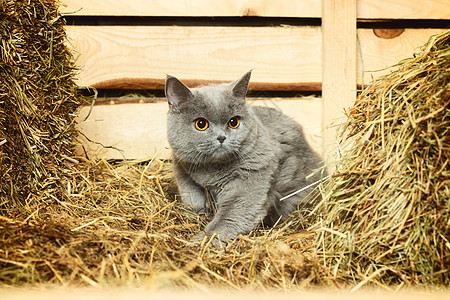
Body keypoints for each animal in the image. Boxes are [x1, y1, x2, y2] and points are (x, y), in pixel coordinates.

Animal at [165, 71, 324, 245]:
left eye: (233, 122)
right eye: (201, 124)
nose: (221, 137)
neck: (211, 171)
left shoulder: (251, 180)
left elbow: (229, 217)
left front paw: (204, 240)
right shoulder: (183, 170)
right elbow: (193, 198)